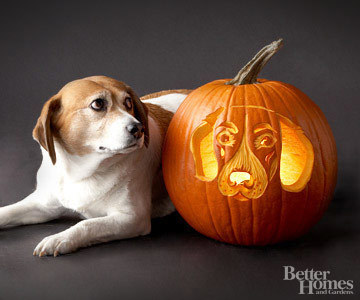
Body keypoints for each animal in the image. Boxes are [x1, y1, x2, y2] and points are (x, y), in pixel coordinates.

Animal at [0, 76, 191, 256]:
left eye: (128, 102)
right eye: (98, 104)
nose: (138, 128)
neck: (80, 173)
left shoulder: (132, 218)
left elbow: (86, 225)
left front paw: (60, 238)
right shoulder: (43, 205)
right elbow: (9, 210)